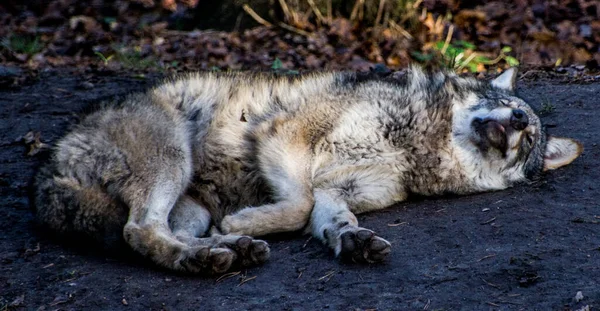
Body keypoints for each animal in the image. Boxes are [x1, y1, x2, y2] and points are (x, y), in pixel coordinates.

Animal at [32, 68, 580, 276]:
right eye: (513, 108)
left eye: (530, 141)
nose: (518, 124)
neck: (412, 141)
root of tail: (50, 168)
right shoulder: (287, 136)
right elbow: (297, 206)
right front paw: (247, 221)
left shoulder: (338, 191)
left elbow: (326, 216)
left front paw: (352, 241)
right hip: (171, 161)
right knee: (138, 231)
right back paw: (218, 249)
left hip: (187, 206)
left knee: (159, 233)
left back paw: (224, 252)